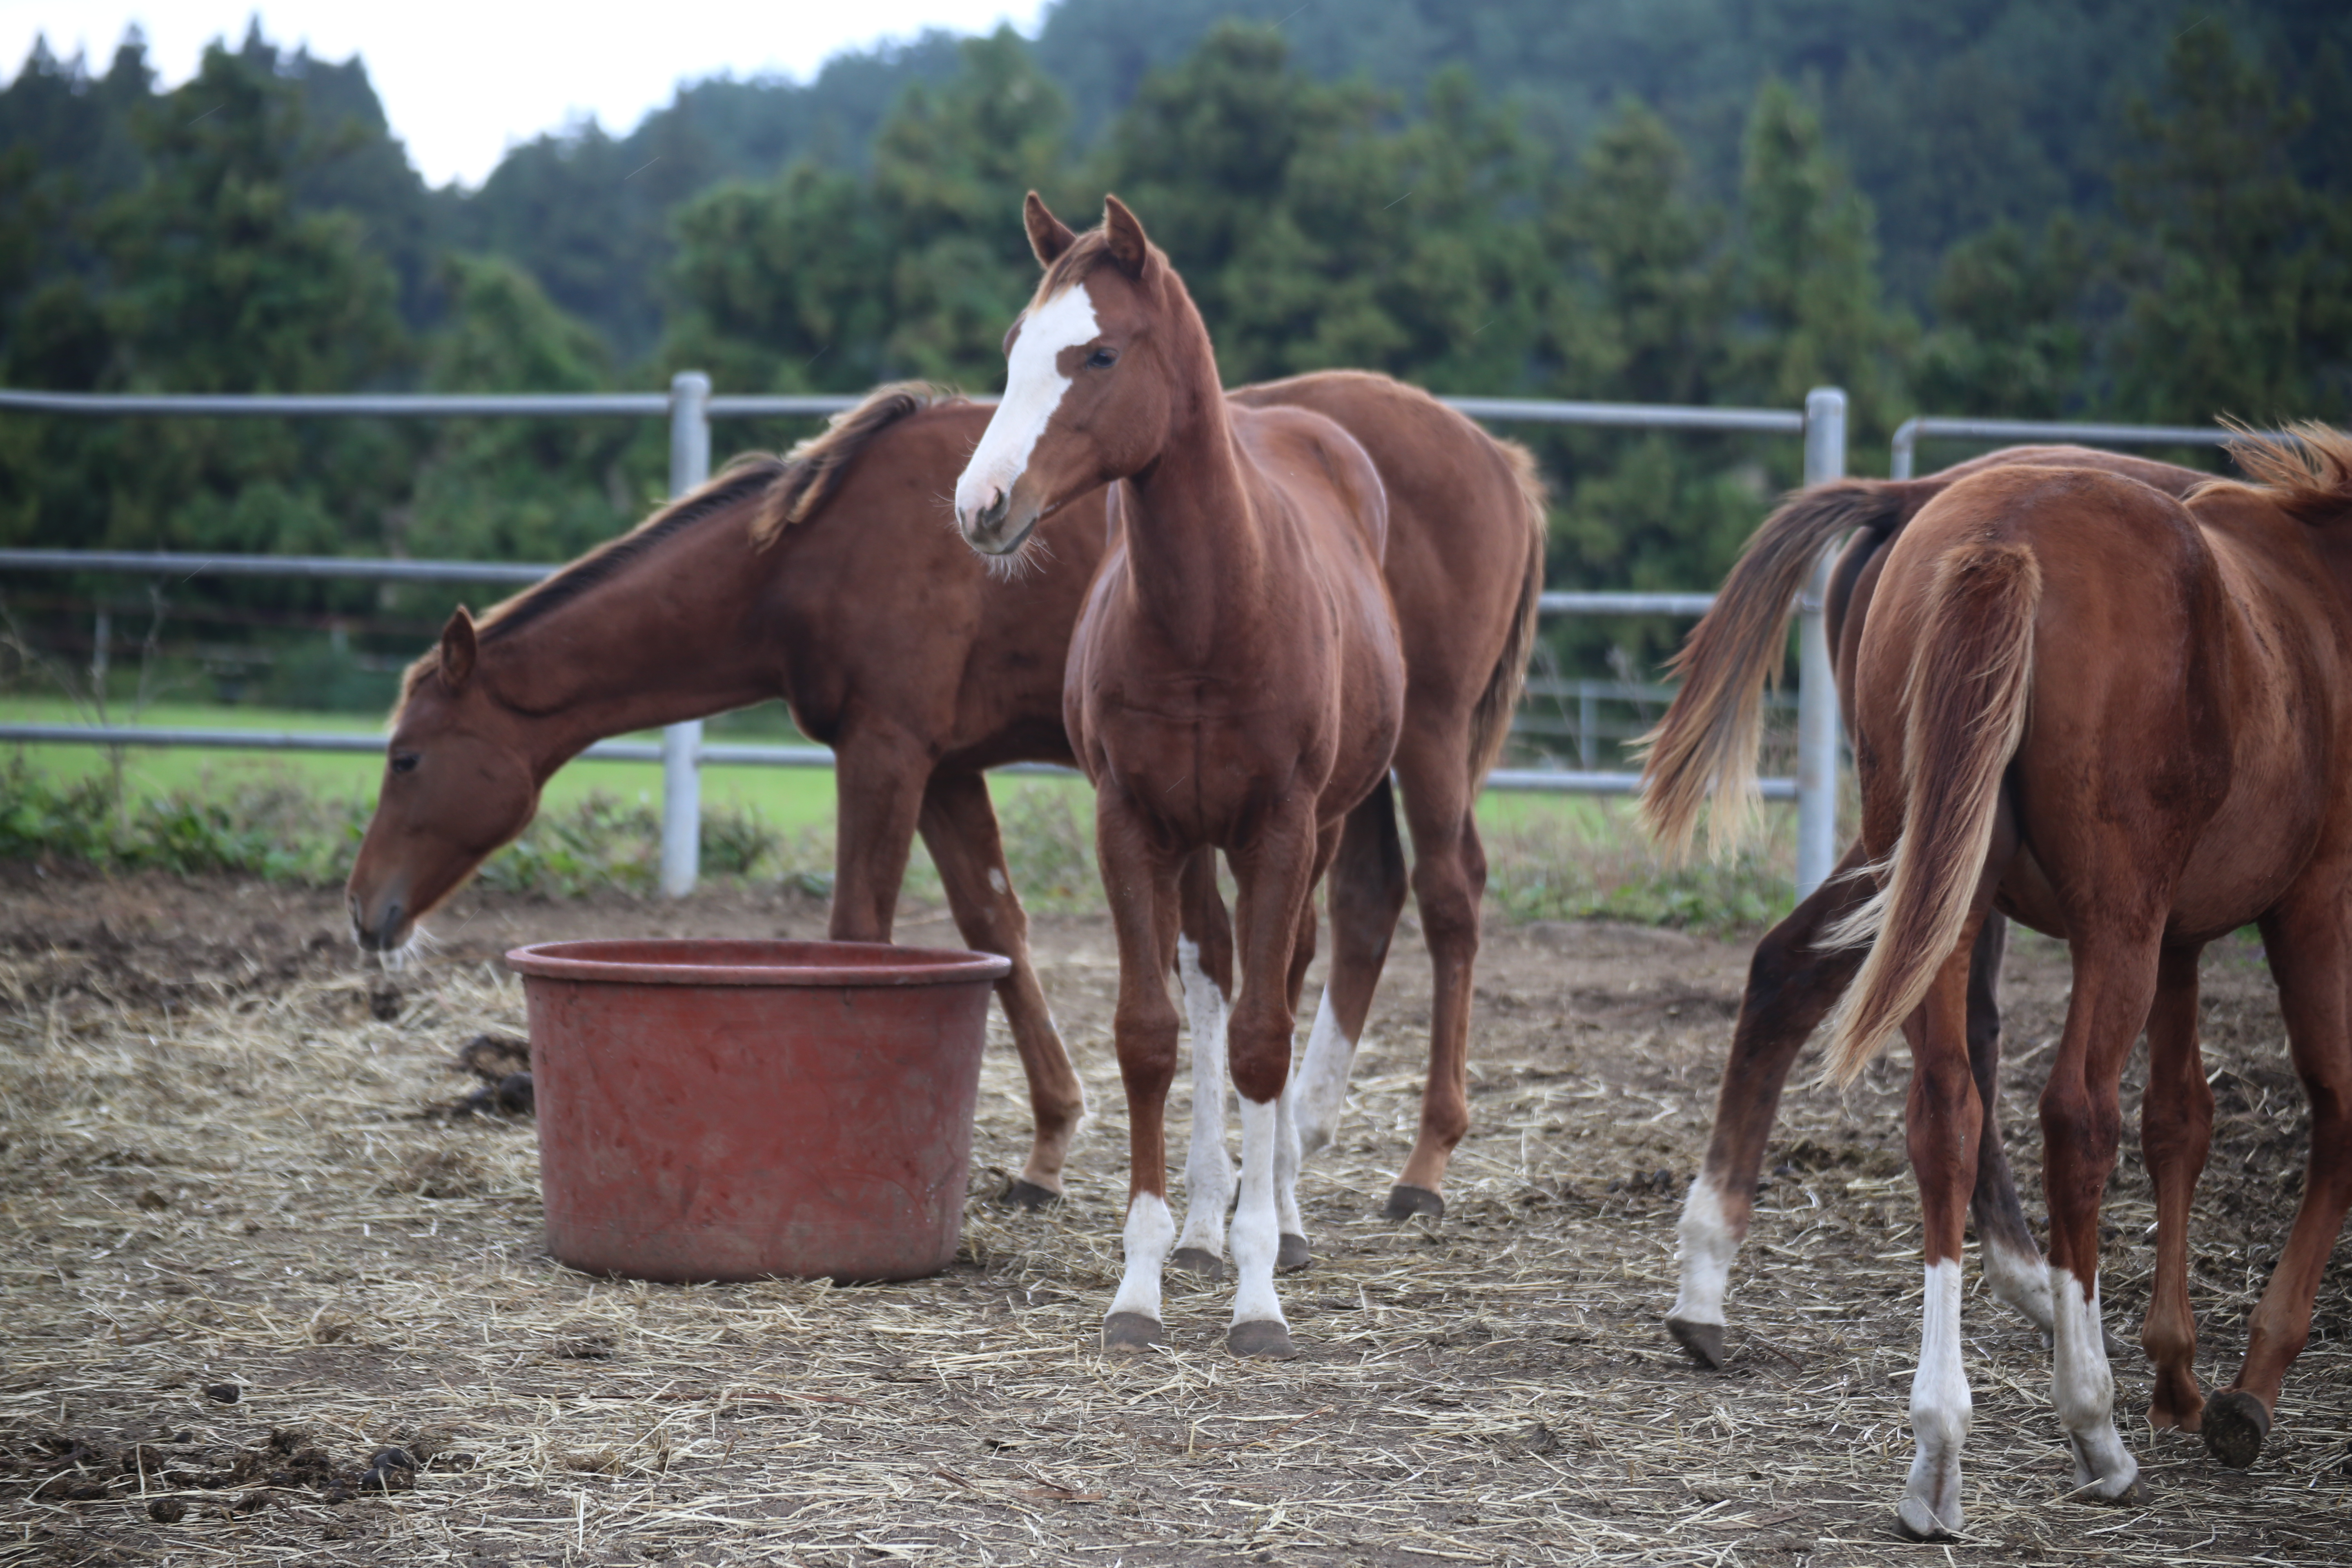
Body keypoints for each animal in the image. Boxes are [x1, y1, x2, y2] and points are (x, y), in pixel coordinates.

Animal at [341, 376, 1533, 1222]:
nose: (365, 912)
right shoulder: (947, 769)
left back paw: (1422, 1165)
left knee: (1450, 898)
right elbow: (992, 925)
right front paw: (1049, 1145)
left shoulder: (884, 752)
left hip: (1424, 740)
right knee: (1367, 905)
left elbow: (857, 931)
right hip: (1351, 772)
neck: (813, 551)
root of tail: (1498, 458)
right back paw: (1304, 1136)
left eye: (406, 757)